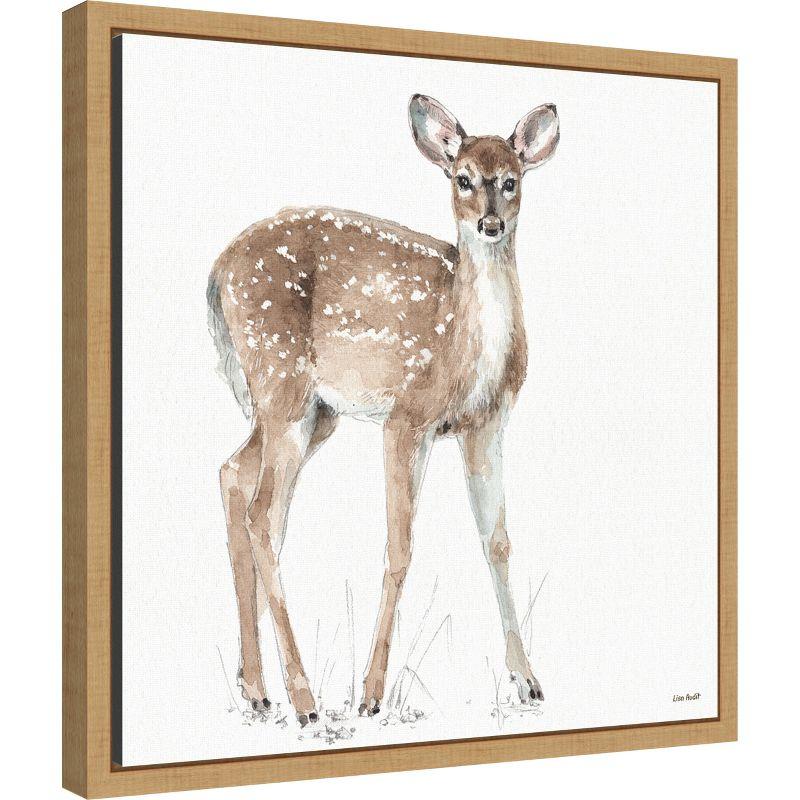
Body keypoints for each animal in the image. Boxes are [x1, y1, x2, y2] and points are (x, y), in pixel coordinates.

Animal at [207, 94, 559, 727]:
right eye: (462, 178)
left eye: (511, 181)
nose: (489, 224)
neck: (466, 344)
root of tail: (217, 273)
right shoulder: (406, 417)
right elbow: (399, 548)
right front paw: (370, 695)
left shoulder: (486, 422)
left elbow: (497, 541)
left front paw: (528, 681)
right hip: (280, 383)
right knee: (263, 513)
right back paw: (306, 702)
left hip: (310, 413)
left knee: (234, 478)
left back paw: (258, 691)